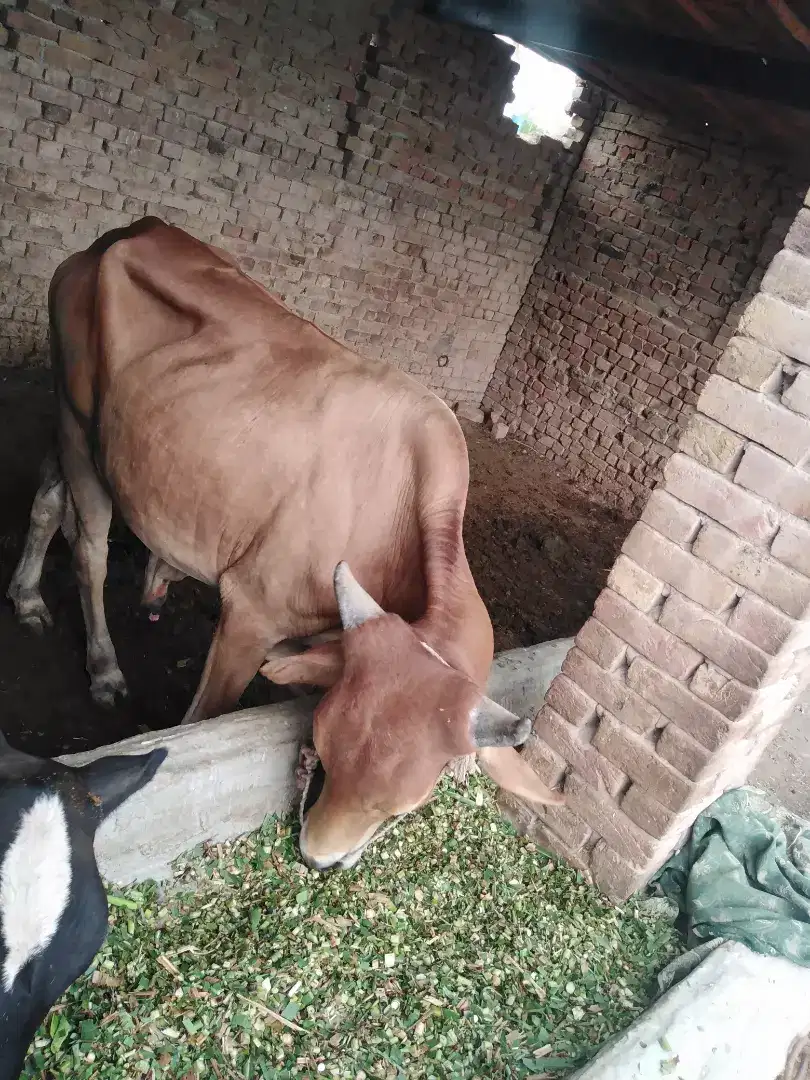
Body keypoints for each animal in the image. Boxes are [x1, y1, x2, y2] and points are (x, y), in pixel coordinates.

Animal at [8, 217, 563, 872]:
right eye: (324, 742)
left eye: (404, 807)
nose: (318, 857)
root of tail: (124, 232)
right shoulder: (250, 612)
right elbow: (203, 716)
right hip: (78, 422)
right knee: (87, 545)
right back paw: (104, 668)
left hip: (75, 423)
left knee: (46, 502)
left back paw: (28, 598)